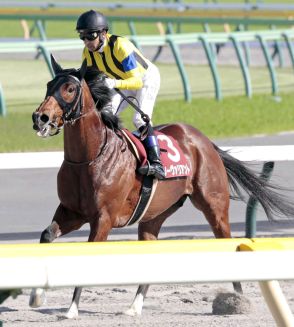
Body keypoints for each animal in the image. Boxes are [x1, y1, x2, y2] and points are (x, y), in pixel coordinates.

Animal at [29, 56, 294, 320]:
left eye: (70, 89)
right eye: (49, 85)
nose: (40, 117)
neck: (89, 157)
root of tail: (204, 141)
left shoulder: (103, 218)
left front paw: (71, 309)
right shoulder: (71, 212)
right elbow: (46, 236)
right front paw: (37, 295)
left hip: (214, 206)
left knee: (226, 241)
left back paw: (237, 300)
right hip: (154, 215)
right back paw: (134, 307)